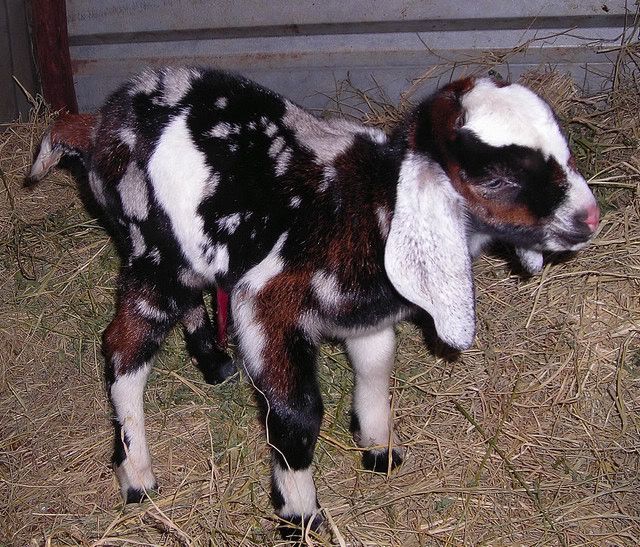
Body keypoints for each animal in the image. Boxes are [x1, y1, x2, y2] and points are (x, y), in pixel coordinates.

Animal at [29, 67, 599, 537]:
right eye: (495, 179)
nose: (588, 217)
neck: (371, 207)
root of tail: (98, 125)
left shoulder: (364, 315)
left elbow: (376, 367)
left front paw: (377, 446)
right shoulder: (267, 303)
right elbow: (297, 413)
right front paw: (299, 515)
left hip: (188, 258)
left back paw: (214, 363)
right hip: (154, 254)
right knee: (121, 350)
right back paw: (138, 477)